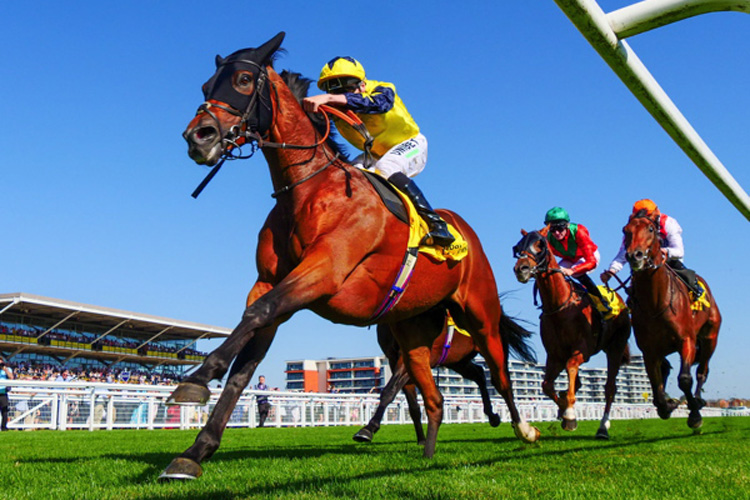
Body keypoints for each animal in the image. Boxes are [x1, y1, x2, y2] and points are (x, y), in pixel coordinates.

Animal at [352, 310, 536, 444]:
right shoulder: (393, 358)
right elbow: (412, 405)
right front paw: (421, 439)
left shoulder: (408, 356)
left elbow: (389, 391)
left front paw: (368, 428)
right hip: (458, 360)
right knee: (479, 374)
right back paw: (492, 415)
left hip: (493, 353)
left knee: (502, 383)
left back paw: (521, 427)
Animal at [516, 229, 632, 440]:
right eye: (519, 246)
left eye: (540, 245)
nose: (521, 269)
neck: (560, 306)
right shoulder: (555, 355)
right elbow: (546, 385)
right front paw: (564, 408)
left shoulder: (581, 350)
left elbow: (570, 368)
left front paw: (569, 415)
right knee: (576, 382)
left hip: (616, 347)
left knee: (610, 388)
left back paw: (603, 427)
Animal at [624, 209, 724, 428]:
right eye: (625, 230)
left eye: (650, 229)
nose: (634, 255)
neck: (656, 302)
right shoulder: (649, 350)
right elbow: (655, 381)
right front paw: (666, 405)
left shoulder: (686, 339)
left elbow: (685, 379)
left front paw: (694, 415)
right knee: (665, 369)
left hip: (710, 338)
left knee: (702, 371)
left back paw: (698, 400)